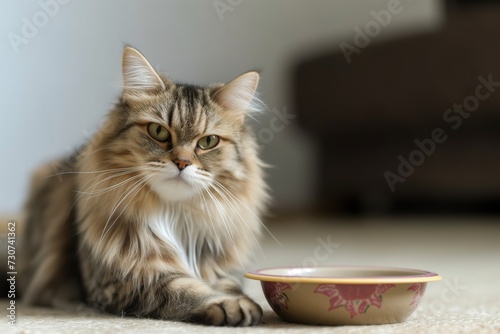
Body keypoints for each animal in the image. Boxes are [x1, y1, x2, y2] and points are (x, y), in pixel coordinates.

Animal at [18, 46, 270, 326]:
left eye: (208, 142)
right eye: (158, 132)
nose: (182, 162)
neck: (176, 215)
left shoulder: (219, 264)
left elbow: (226, 284)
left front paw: (239, 301)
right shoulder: (122, 283)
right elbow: (182, 288)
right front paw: (230, 305)